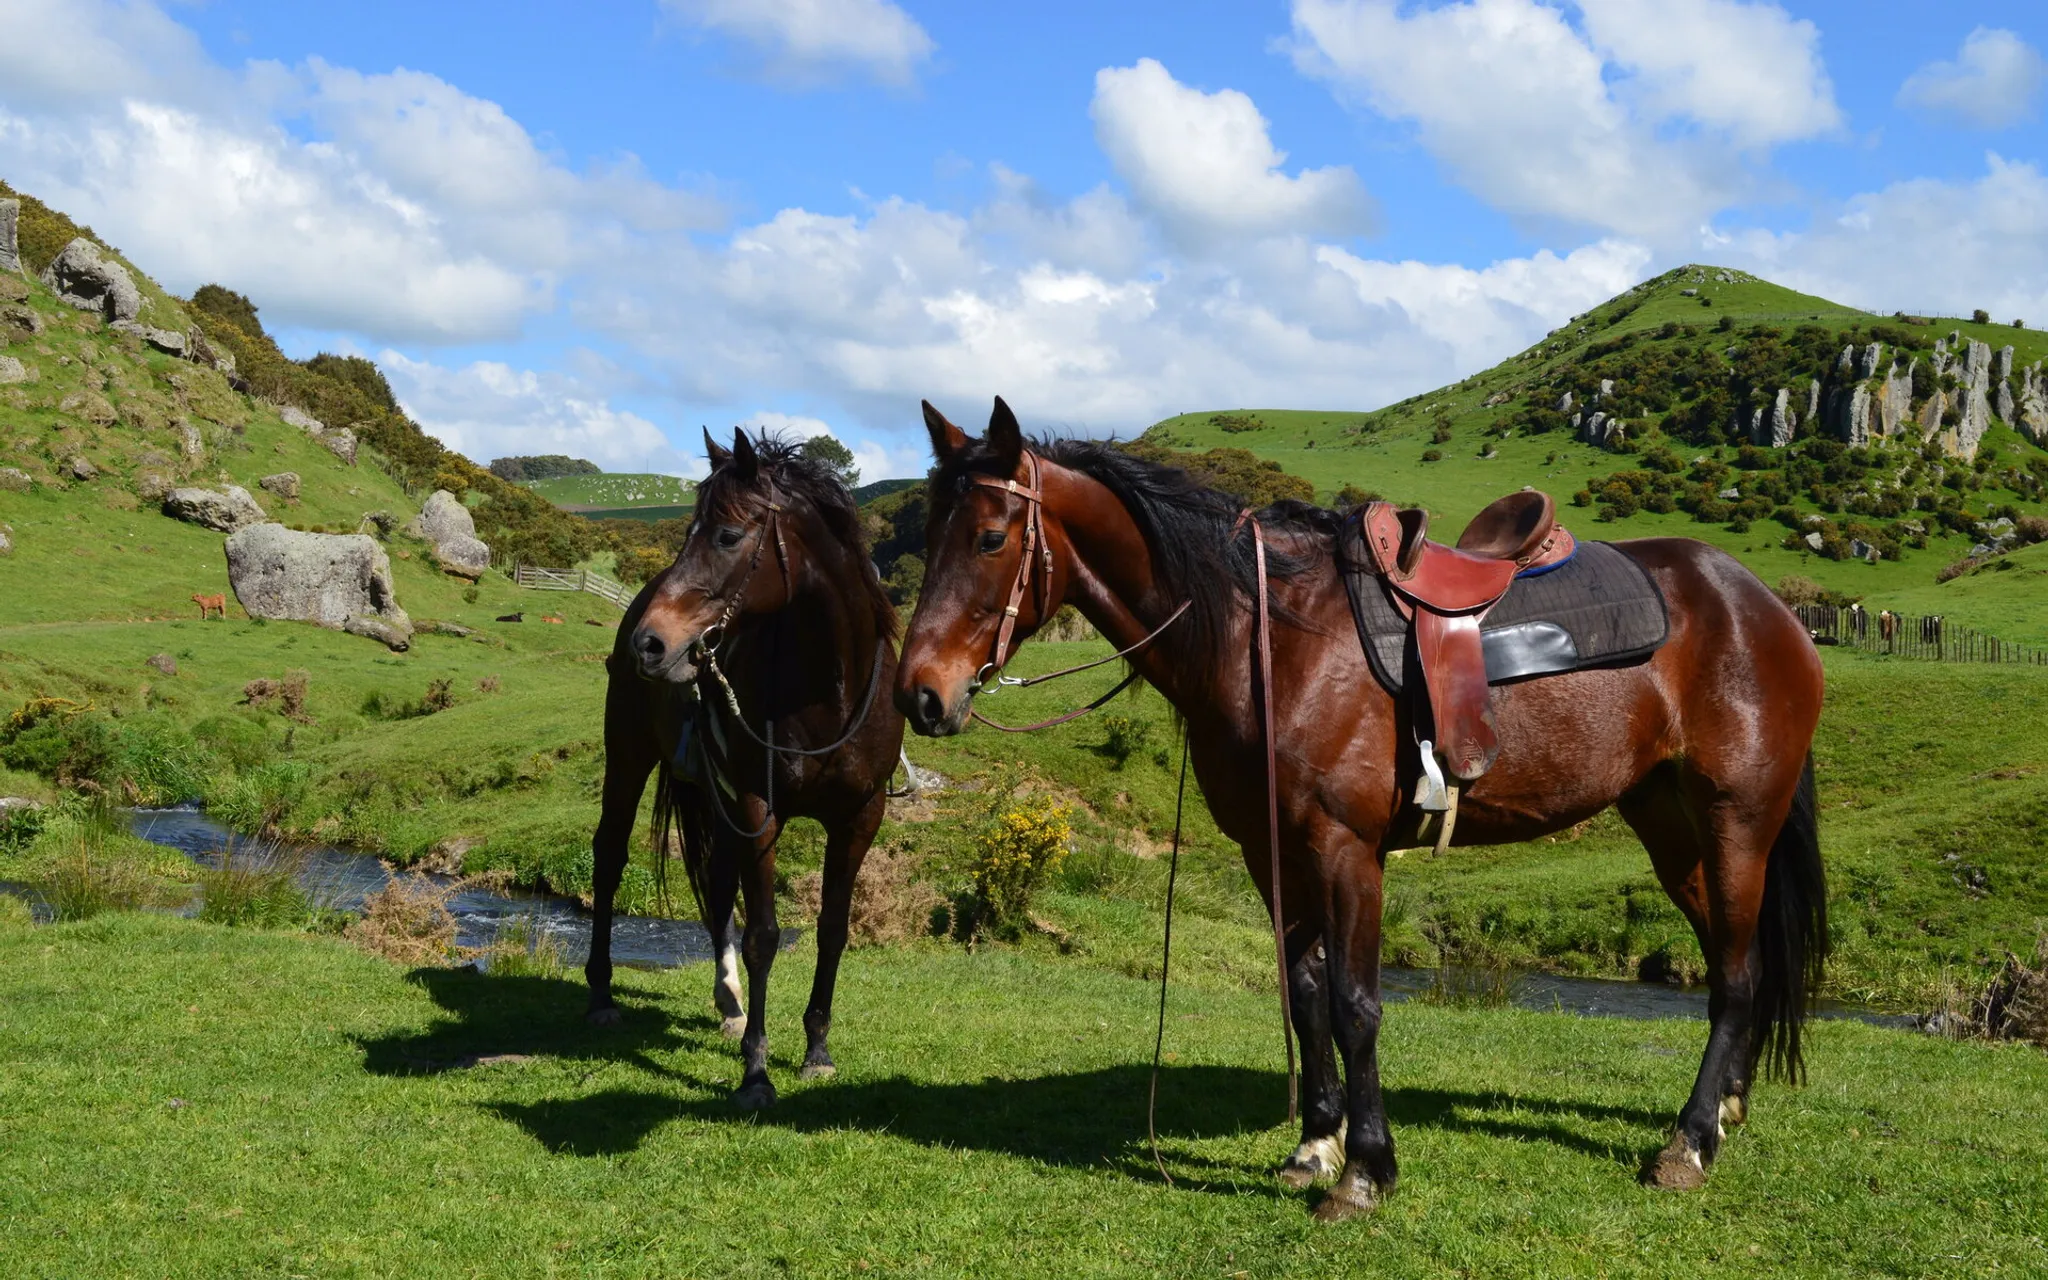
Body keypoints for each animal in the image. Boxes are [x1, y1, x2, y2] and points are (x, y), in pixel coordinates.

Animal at [594, 428, 906, 1108]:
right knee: (610, 857)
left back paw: (730, 1003)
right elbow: (765, 934)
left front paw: (816, 1049)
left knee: (715, 883)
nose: (650, 644)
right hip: (629, 759)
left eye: (728, 536)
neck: (828, 691)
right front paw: (757, 1072)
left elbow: (832, 928)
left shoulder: (859, 816)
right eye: (690, 529)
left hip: (718, 800)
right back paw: (600, 992)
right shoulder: (760, 809)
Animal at [895, 399, 1826, 1221]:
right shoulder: (1271, 852)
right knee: (1735, 963)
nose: (920, 696)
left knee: (1737, 978)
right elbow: (1305, 995)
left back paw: (1690, 1143)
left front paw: (1367, 1172)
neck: (1273, 636)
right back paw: (1726, 1108)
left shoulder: (1345, 850)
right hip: (1670, 829)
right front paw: (1316, 1146)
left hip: (1736, 822)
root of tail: (1765, 607)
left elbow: (1355, 1005)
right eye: (929, 537)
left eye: (989, 538)